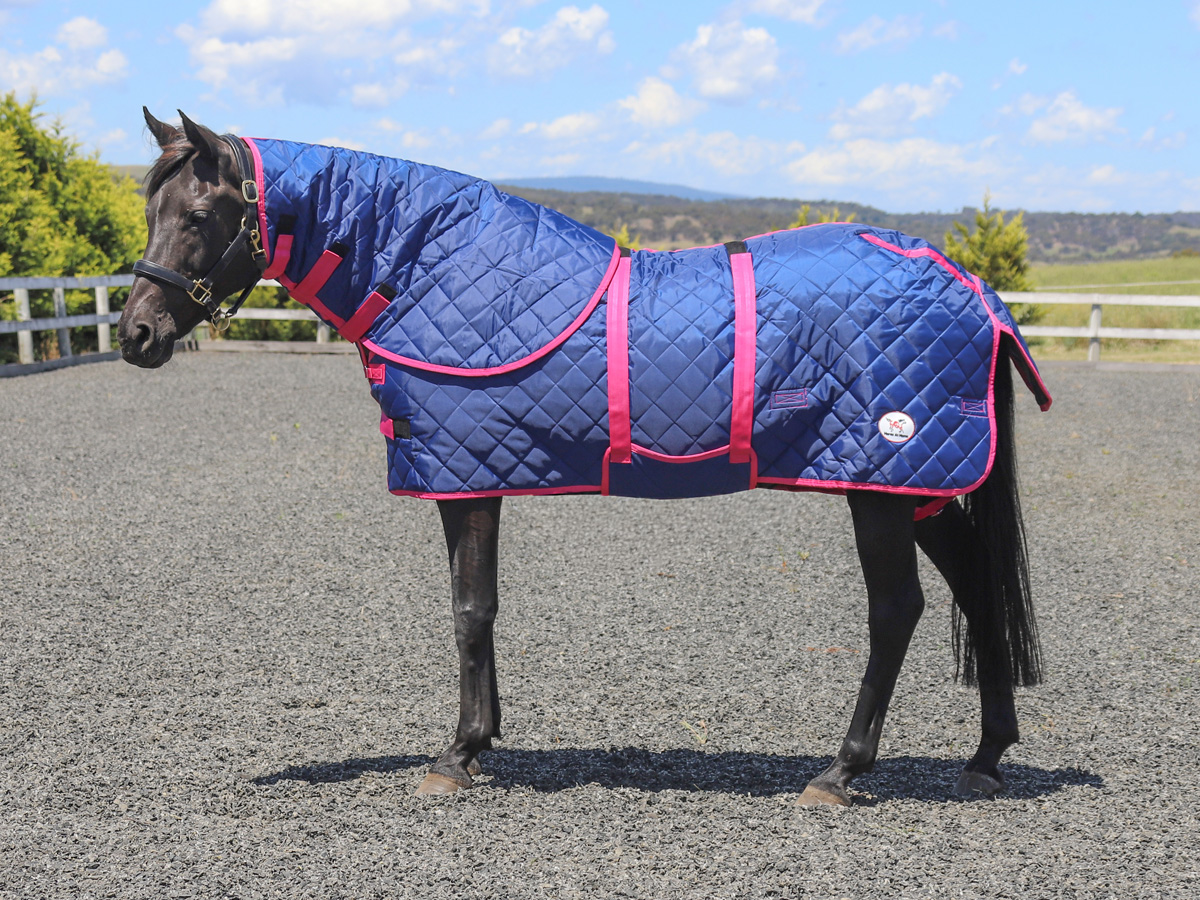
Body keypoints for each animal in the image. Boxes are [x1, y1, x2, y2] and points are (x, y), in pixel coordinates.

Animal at [118, 109, 1051, 806]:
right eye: (150, 213)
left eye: (198, 217)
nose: (136, 336)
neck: (427, 271)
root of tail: (974, 289)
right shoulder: (475, 473)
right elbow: (478, 608)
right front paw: (483, 740)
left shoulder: (467, 474)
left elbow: (470, 611)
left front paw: (457, 756)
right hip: (916, 483)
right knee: (976, 583)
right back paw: (985, 757)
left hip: (880, 486)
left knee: (898, 612)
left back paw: (841, 770)